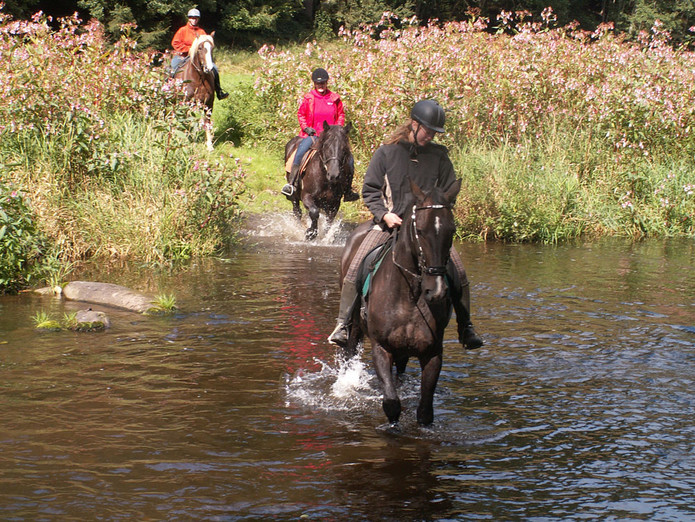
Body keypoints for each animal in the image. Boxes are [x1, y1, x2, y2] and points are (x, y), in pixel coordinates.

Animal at [342, 177, 462, 424]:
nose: (436, 291)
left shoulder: (432, 353)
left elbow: (425, 411)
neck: (409, 295)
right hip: (355, 327)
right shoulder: (381, 348)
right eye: (420, 230)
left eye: (452, 230)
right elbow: (391, 403)